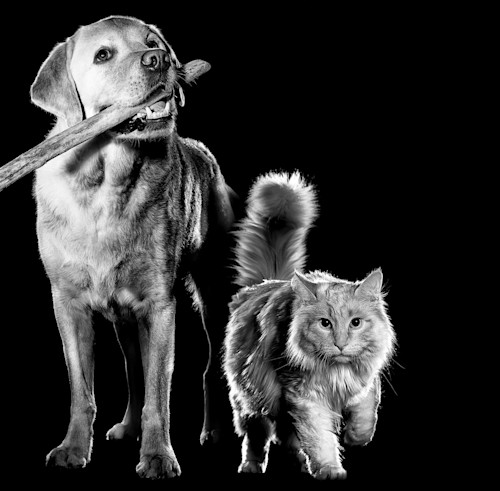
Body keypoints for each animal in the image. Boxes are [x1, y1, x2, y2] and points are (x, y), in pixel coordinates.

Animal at [29, 16, 236, 480]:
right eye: (103, 55)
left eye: (153, 42)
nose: (158, 60)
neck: (105, 186)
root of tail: (203, 151)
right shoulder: (67, 304)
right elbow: (82, 391)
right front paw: (73, 448)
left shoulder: (160, 306)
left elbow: (160, 396)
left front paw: (158, 455)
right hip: (123, 320)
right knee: (134, 372)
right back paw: (127, 426)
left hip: (213, 295)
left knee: (208, 369)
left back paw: (215, 431)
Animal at [223, 173, 394, 480]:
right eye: (325, 324)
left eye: (356, 323)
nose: (340, 344)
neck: (337, 371)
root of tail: (264, 284)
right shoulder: (305, 397)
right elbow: (320, 438)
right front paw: (330, 469)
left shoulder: (366, 380)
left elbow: (366, 411)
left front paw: (355, 437)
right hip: (252, 397)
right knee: (257, 436)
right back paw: (252, 466)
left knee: (289, 436)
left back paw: (302, 462)